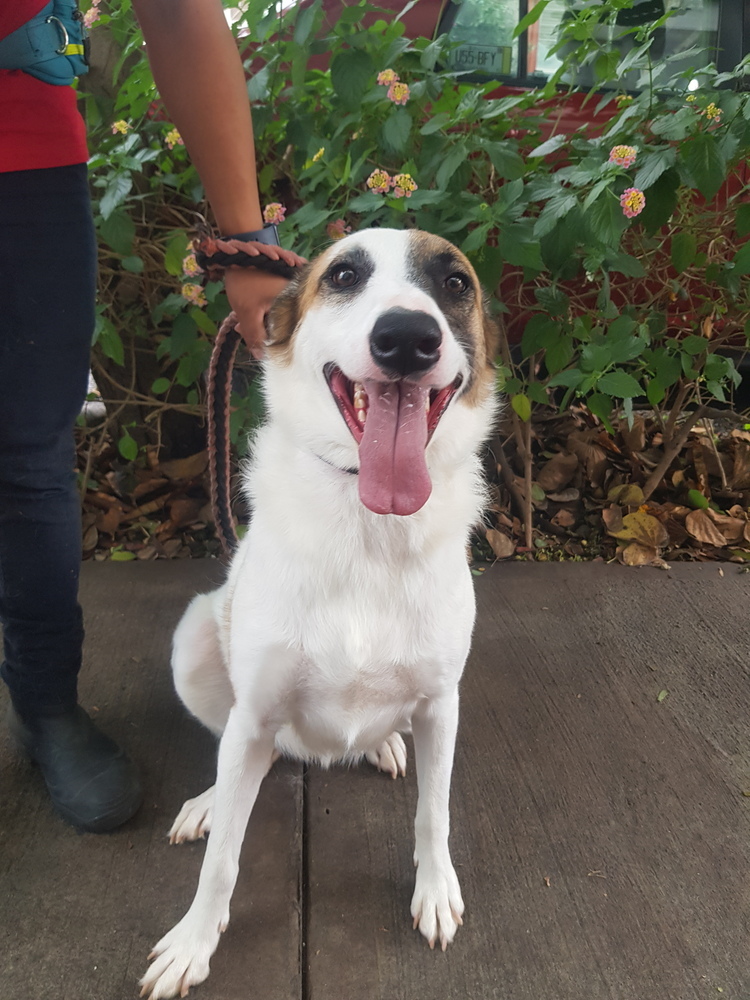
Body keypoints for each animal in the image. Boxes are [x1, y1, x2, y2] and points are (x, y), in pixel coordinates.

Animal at [140, 229, 500, 1000]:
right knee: (247, 751)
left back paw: (383, 744)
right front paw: (194, 940)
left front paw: (434, 890)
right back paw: (211, 799)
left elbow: (434, 814)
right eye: (343, 274)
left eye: (455, 282)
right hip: (196, 644)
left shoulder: (442, 704)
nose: (407, 338)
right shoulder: (253, 711)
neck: (369, 526)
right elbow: (223, 860)